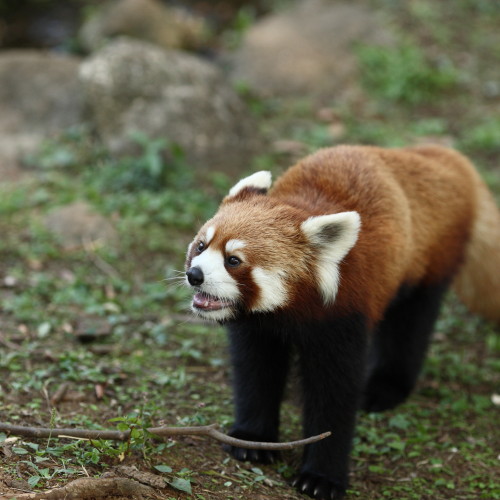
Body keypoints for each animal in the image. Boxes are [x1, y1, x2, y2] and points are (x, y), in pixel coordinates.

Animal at [184, 146, 500, 500]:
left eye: (233, 260)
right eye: (201, 245)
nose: (194, 274)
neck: (289, 311)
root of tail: (437, 154)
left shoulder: (342, 316)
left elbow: (334, 392)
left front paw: (322, 477)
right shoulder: (258, 328)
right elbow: (256, 373)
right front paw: (252, 439)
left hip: (428, 263)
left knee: (409, 327)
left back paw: (385, 387)